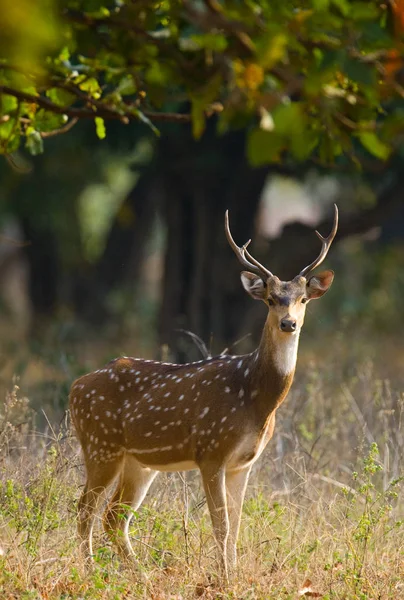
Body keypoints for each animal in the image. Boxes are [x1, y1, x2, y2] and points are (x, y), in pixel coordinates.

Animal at [69, 204, 338, 580]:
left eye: (302, 300)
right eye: (271, 300)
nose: (289, 323)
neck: (255, 399)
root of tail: (75, 387)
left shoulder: (244, 462)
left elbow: (236, 525)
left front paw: (233, 575)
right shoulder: (211, 451)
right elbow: (220, 525)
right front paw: (224, 578)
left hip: (138, 462)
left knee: (113, 517)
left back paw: (140, 575)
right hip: (100, 444)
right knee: (85, 510)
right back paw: (92, 573)